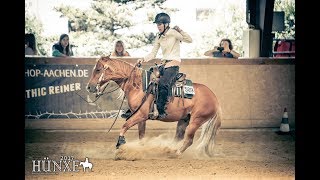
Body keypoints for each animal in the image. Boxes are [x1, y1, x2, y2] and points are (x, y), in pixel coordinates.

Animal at [85, 56, 221, 156]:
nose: (89, 87)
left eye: (98, 70)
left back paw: (176, 153)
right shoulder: (140, 118)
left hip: (196, 121)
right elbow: (141, 136)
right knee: (178, 138)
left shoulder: (141, 115)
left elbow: (124, 126)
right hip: (184, 120)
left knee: (189, 140)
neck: (139, 86)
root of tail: (215, 98)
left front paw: (121, 143)